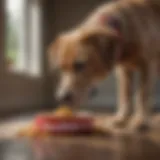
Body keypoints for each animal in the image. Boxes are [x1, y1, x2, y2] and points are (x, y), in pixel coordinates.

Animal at [48, 0, 160, 130]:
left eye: (80, 65)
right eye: (60, 68)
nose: (62, 97)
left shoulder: (147, 65)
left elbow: (142, 95)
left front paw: (141, 120)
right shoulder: (124, 70)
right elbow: (124, 95)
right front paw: (121, 118)